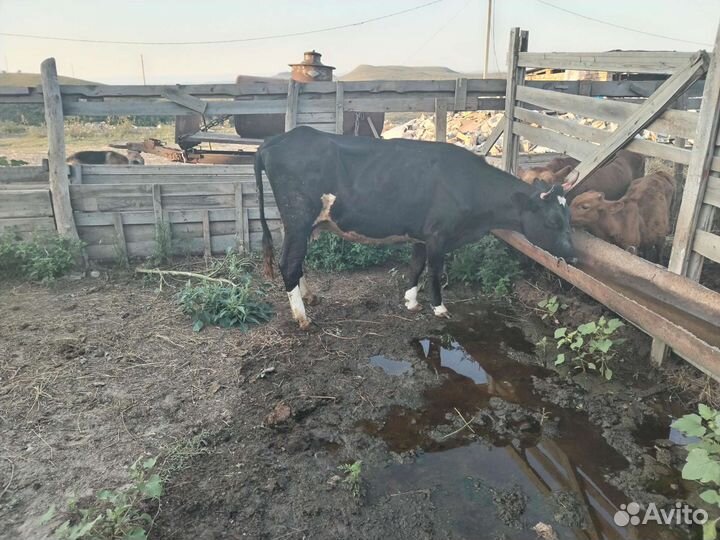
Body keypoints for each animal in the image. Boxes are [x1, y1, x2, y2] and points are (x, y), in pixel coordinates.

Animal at [255, 126, 576, 329]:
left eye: (568, 217)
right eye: (553, 221)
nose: (574, 255)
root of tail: (277, 140)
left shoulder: (422, 236)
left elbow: (415, 266)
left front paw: (410, 302)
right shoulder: (438, 235)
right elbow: (434, 272)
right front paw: (439, 308)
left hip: (299, 225)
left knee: (296, 261)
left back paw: (309, 296)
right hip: (297, 218)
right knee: (288, 263)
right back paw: (303, 317)